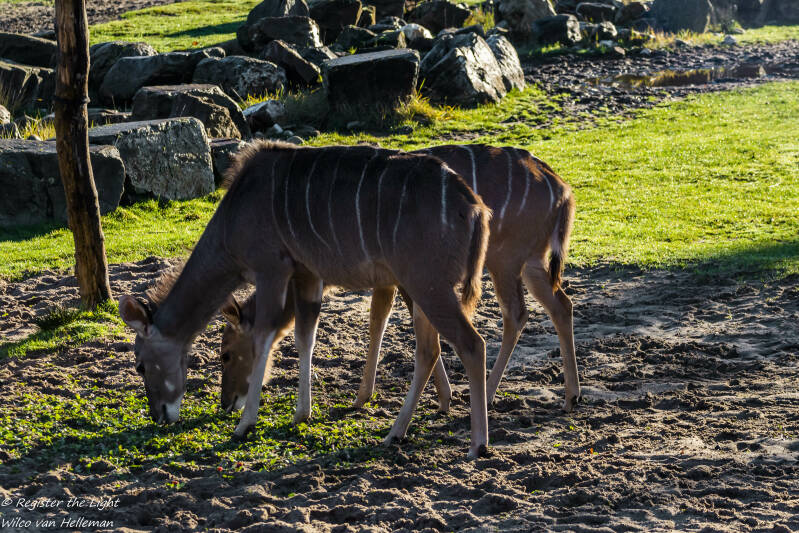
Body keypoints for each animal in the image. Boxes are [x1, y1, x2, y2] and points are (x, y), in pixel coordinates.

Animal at [118, 141, 493, 457]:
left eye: (140, 365)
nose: (159, 415)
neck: (232, 217)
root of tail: (475, 206)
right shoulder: (307, 275)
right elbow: (305, 337)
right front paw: (302, 414)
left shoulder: (271, 268)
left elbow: (265, 336)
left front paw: (245, 424)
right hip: (423, 288)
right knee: (430, 350)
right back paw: (395, 433)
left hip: (428, 285)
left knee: (472, 343)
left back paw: (477, 445)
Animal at [218, 144, 581, 423]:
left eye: (226, 353)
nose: (227, 402)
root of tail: (561, 186)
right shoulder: (395, 278)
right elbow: (385, 320)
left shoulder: (404, 277)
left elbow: (382, 321)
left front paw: (372, 397)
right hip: (532, 262)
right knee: (561, 305)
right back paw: (571, 396)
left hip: (504, 261)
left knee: (515, 314)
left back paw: (489, 394)